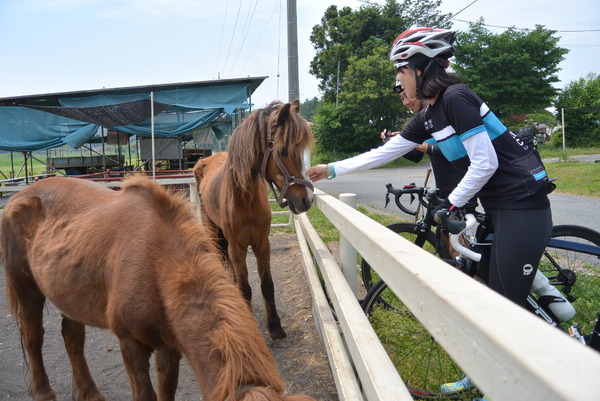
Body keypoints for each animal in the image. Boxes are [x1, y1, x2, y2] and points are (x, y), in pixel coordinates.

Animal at [0, 176, 316, 400]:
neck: (157, 260)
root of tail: (17, 196)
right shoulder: (131, 345)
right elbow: (145, 394)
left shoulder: (169, 346)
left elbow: (166, 392)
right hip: (26, 286)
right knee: (33, 338)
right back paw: (44, 392)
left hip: (69, 294)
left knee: (72, 338)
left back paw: (91, 394)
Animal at [193, 99, 316, 338]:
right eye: (283, 151)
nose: (307, 200)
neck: (245, 198)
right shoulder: (237, 247)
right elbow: (245, 288)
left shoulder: (261, 244)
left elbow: (267, 285)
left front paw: (275, 326)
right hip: (213, 230)